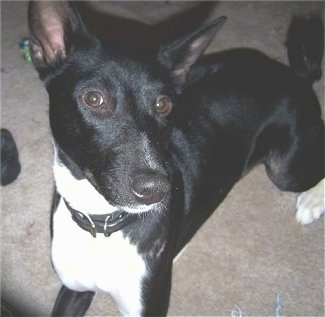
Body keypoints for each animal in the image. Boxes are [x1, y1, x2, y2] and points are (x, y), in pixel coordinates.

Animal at [27, 1, 322, 314]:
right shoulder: (74, 291)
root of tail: (293, 74)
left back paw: (312, 201)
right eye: (94, 99)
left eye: (163, 104)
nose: (156, 189)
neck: (103, 224)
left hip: (287, 171)